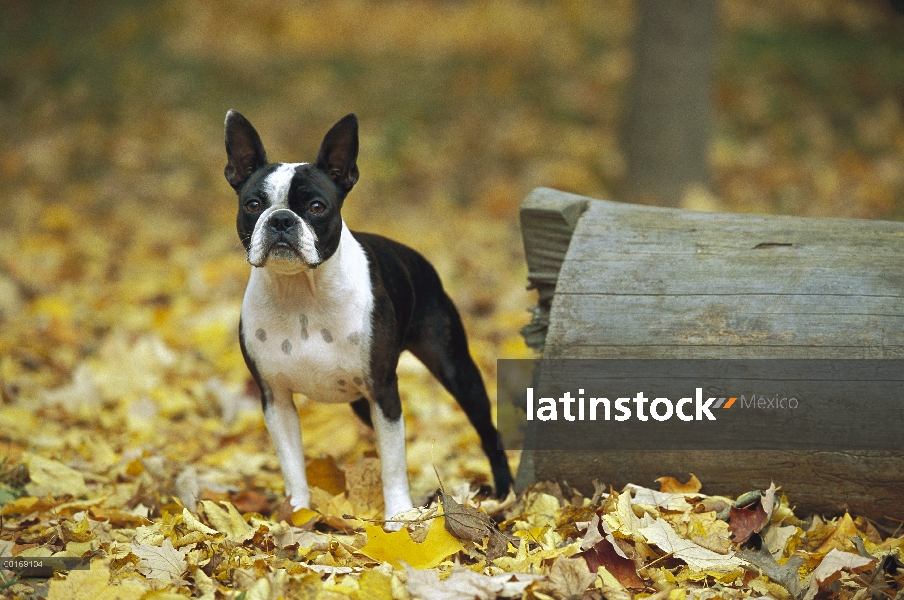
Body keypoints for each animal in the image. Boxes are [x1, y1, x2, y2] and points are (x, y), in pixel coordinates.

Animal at [223, 111, 512, 520]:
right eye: (252, 204)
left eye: (316, 207)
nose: (280, 219)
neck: (301, 293)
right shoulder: (275, 400)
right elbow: (292, 464)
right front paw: (297, 515)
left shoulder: (383, 390)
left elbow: (394, 462)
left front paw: (398, 518)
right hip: (361, 401)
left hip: (455, 368)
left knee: (486, 430)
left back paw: (504, 492)